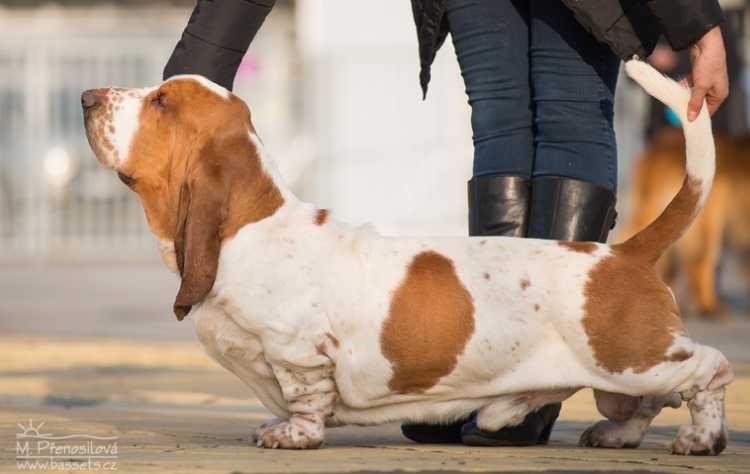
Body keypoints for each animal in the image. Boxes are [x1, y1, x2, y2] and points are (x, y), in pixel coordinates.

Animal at [82, 61, 736, 454]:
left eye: (162, 102)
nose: (86, 96)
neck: (251, 226)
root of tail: (623, 252)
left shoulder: (300, 353)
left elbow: (305, 398)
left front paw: (291, 434)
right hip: (620, 375)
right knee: (644, 404)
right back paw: (615, 435)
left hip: (632, 356)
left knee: (709, 370)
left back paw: (703, 439)